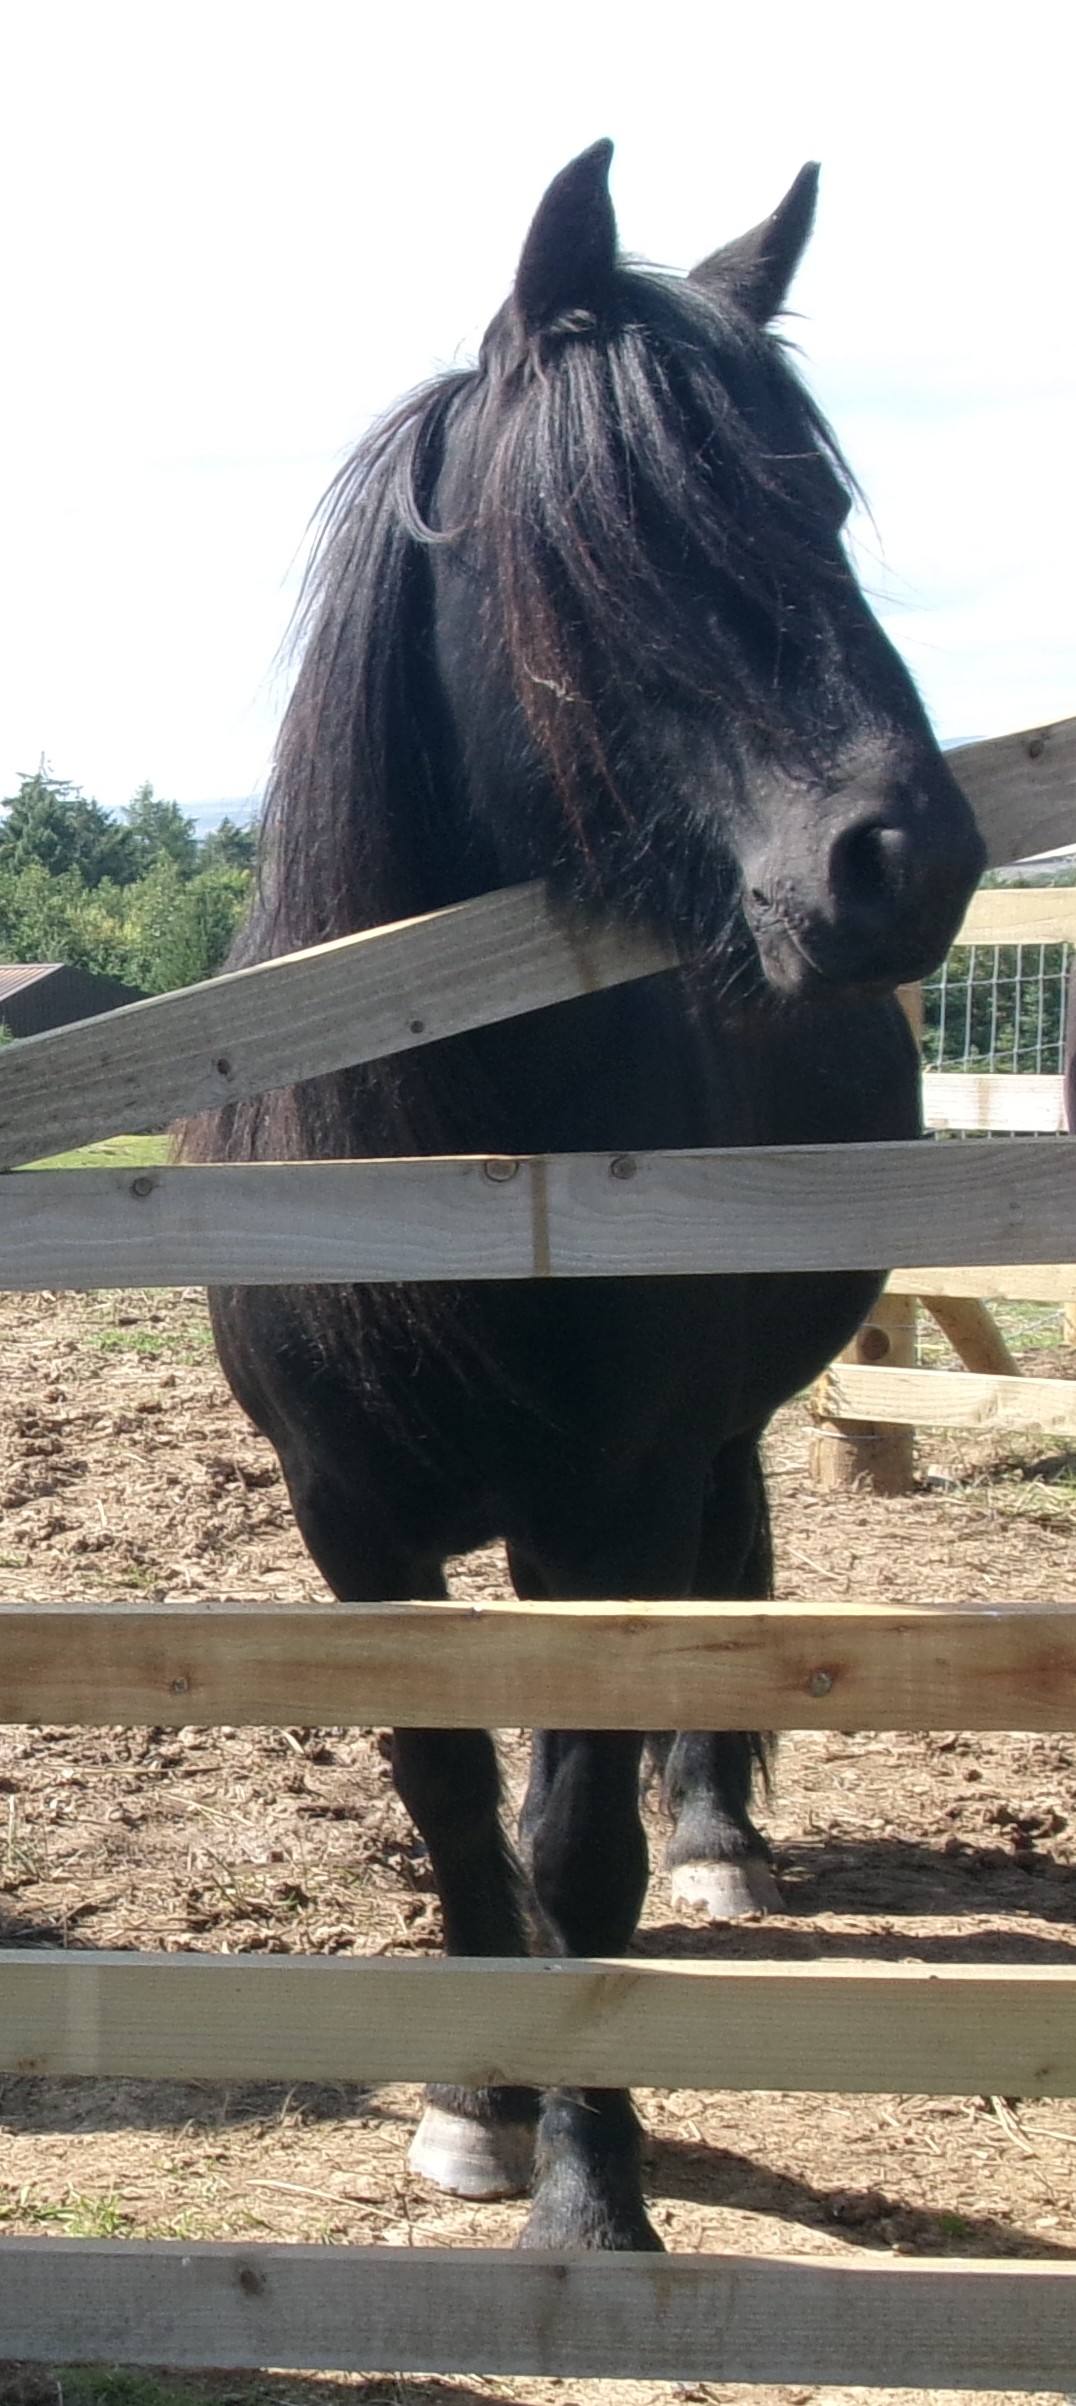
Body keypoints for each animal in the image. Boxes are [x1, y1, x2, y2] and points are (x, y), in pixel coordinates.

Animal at [189, 143, 985, 2251]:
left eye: (822, 503)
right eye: (612, 529)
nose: (905, 858)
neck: (435, 1155)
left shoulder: (600, 1509)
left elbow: (575, 1829)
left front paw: (591, 2188)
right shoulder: (354, 1526)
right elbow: (456, 1795)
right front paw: (474, 2102)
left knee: (726, 1571)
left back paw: (720, 1832)